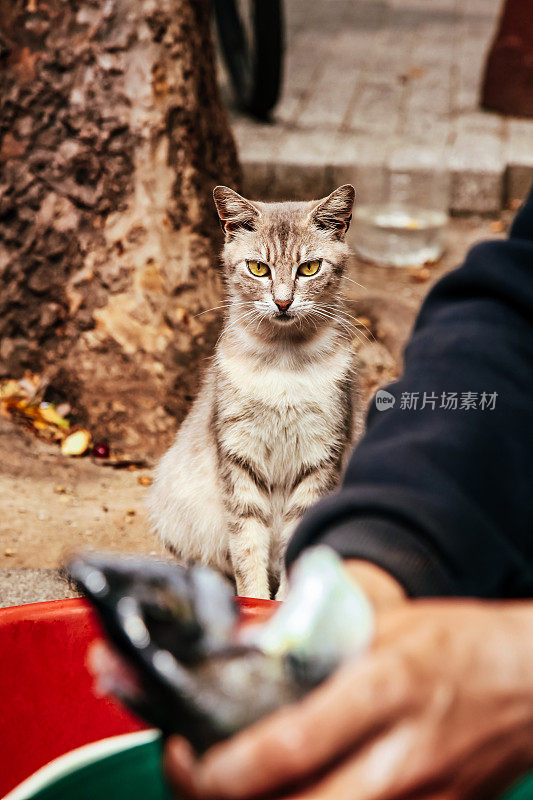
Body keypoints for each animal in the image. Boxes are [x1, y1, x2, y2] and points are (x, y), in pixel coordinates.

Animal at [148, 186, 360, 600]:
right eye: (258, 268)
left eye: (309, 268)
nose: (283, 302)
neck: (284, 363)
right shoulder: (238, 458)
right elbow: (246, 544)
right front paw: (255, 601)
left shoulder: (320, 457)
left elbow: (297, 539)